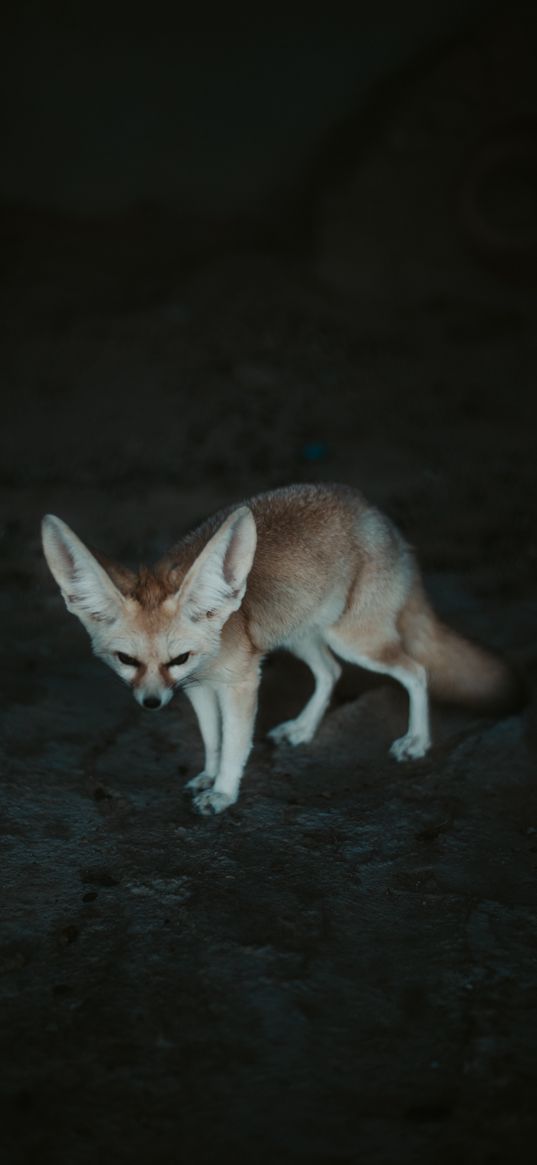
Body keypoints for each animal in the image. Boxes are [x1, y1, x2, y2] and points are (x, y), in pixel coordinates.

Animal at [39, 479, 517, 810]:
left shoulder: (241, 682)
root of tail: (379, 518)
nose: (151, 704)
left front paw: (224, 792)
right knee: (331, 672)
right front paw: (208, 775)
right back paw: (303, 729)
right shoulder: (197, 688)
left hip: (354, 641)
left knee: (416, 671)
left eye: (179, 657)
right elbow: (212, 739)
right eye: (126, 659)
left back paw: (416, 740)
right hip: (302, 636)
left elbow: (235, 743)